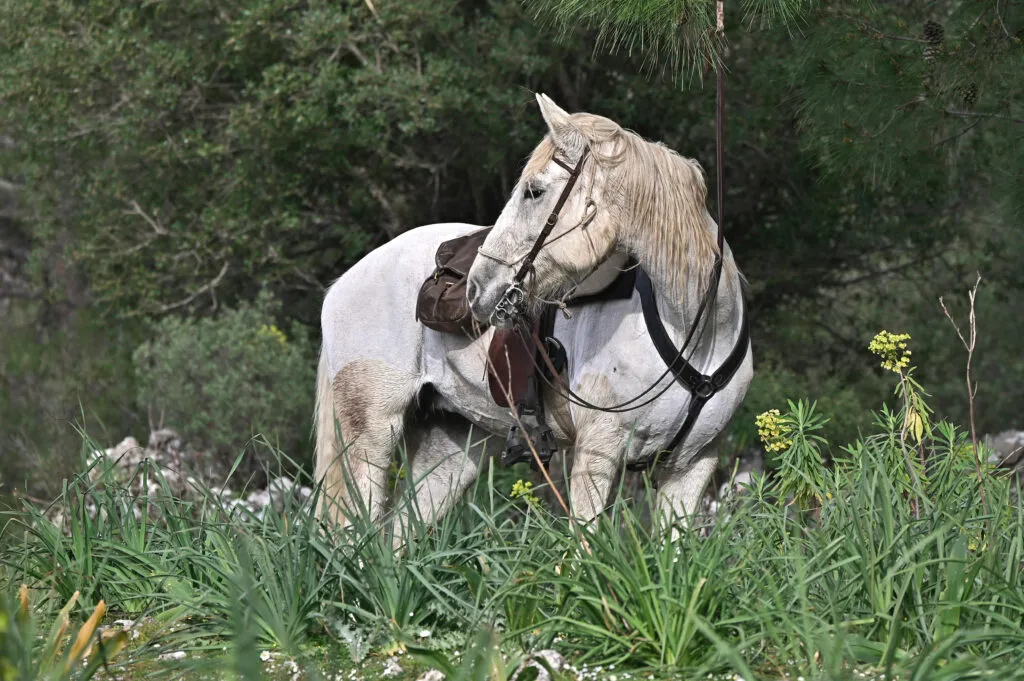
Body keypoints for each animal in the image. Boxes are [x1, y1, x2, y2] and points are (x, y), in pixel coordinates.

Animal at [313, 94, 752, 535]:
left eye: (534, 191)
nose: (476, 288)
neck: (692, 329)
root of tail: (341, 285)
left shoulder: (692, 468)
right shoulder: (598, 452)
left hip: (452, 447)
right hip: (371, 433)